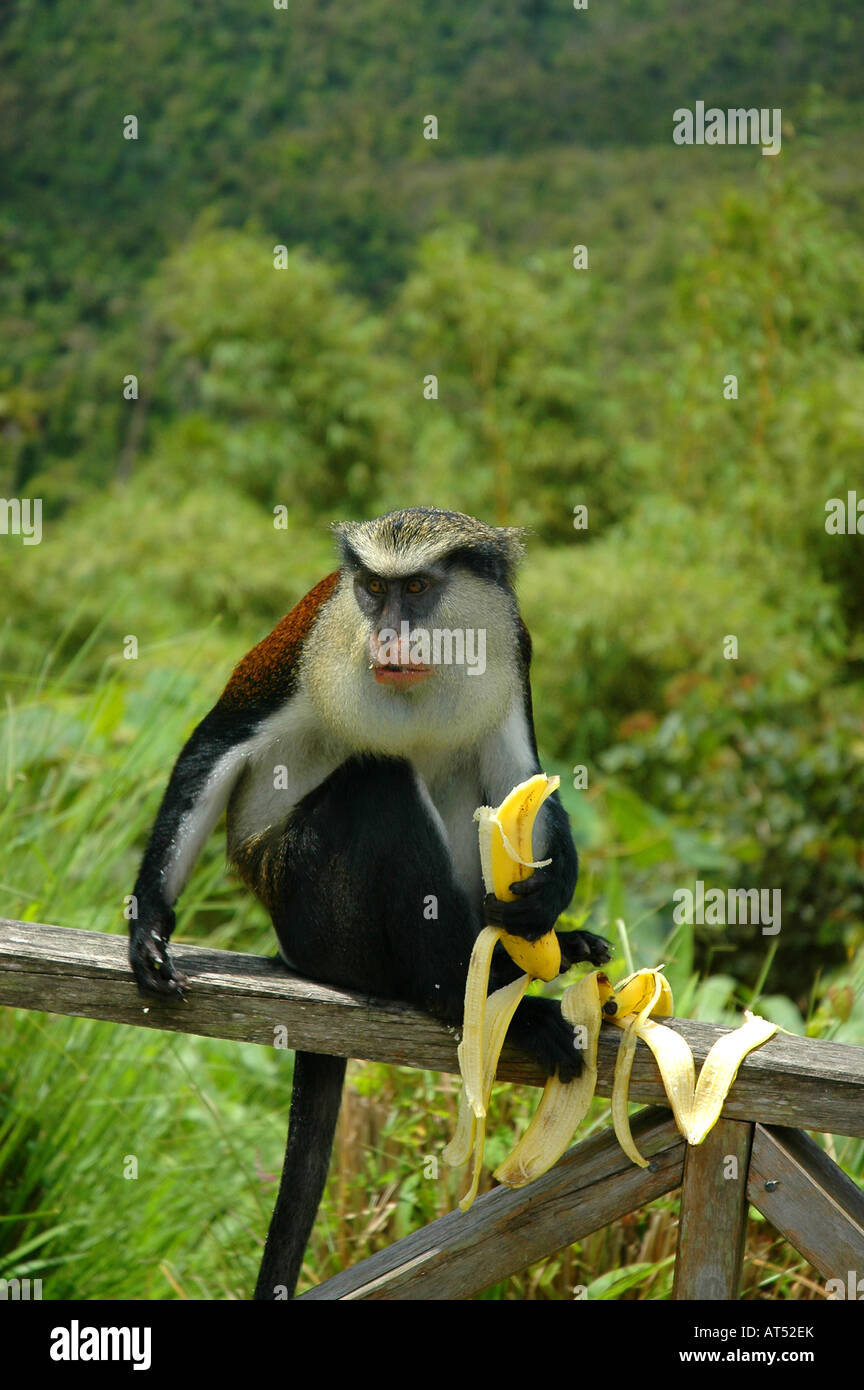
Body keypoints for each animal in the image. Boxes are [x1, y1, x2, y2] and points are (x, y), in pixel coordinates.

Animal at [129, 506, 609, 1299]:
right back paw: (476, 999)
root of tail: (287, 945)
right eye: (372, 590)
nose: (386, 634)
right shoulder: (305, 647)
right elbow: (213, 745)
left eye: (415, 589)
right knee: (378, 785)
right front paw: (149, 928)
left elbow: (521, 779)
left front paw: (551, 897)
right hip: (316, 914)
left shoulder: (514, 648)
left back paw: (532, 957)